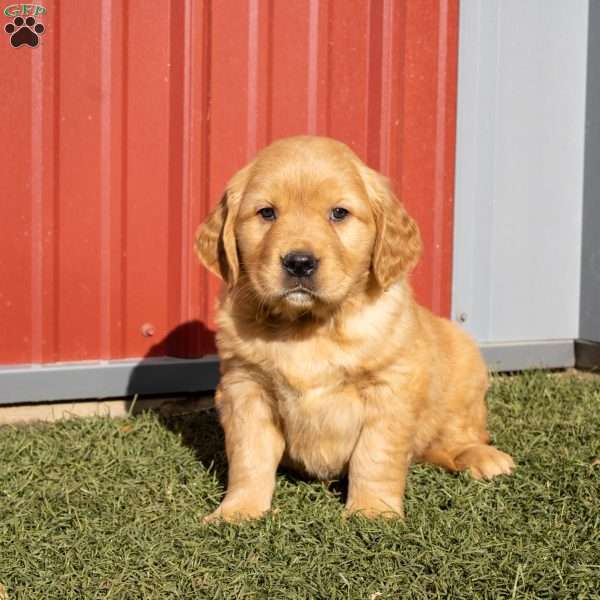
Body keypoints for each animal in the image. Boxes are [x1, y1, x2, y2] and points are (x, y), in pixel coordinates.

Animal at [195, 136, 512, 520]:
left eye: (339, 213)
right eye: (267, 213)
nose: (299, 262)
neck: (310, 326)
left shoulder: (389, 390)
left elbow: (375, 457)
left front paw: (372, 511)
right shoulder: (245, 387)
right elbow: (249, 457)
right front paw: (237, 511)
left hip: (465, 370)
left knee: (454, 437)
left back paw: (482, 457)